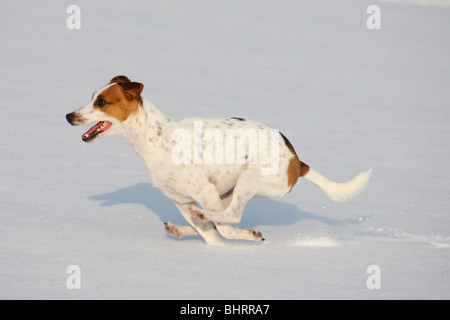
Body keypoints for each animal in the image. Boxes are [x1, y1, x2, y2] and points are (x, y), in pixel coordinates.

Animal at [66, 75, 370, 245]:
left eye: (102, 102)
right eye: (91, 97)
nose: (69, 115)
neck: (158, 139)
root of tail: (298, 162)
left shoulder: (204, 191)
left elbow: (223, 230)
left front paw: (244, 235)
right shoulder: (182, 201)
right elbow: (212, 235)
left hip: (249, 179)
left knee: (231, 216)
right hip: (227, 192)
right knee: (214, 221)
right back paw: (180, 228)